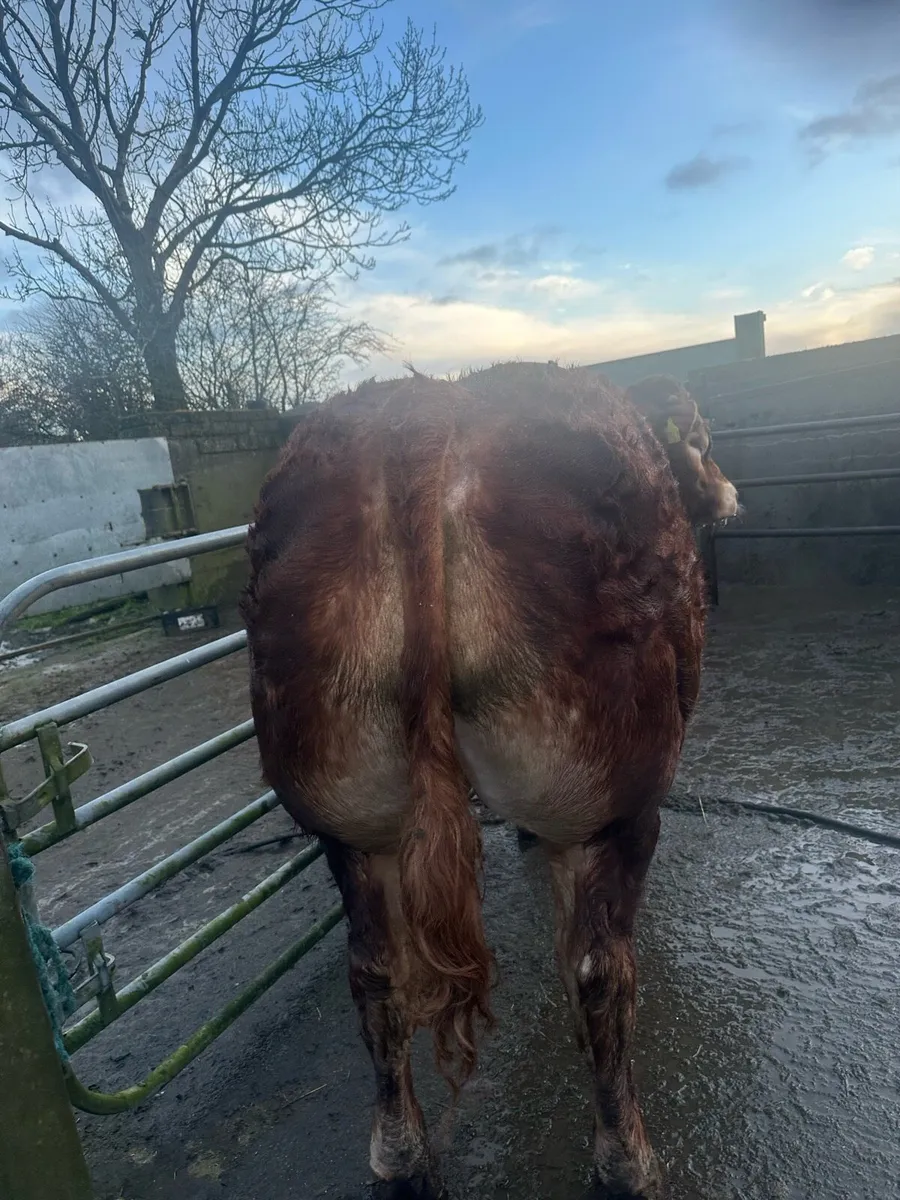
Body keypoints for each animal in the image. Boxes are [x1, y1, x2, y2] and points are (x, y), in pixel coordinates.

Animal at [240, 365, 738, 1198]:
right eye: (700, 437)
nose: (729, 494)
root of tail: (422, 420)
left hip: (344, 804)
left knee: (374, 972)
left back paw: (402, 1158)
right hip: (609, 794)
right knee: (602, 971)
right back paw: (625, 1162)